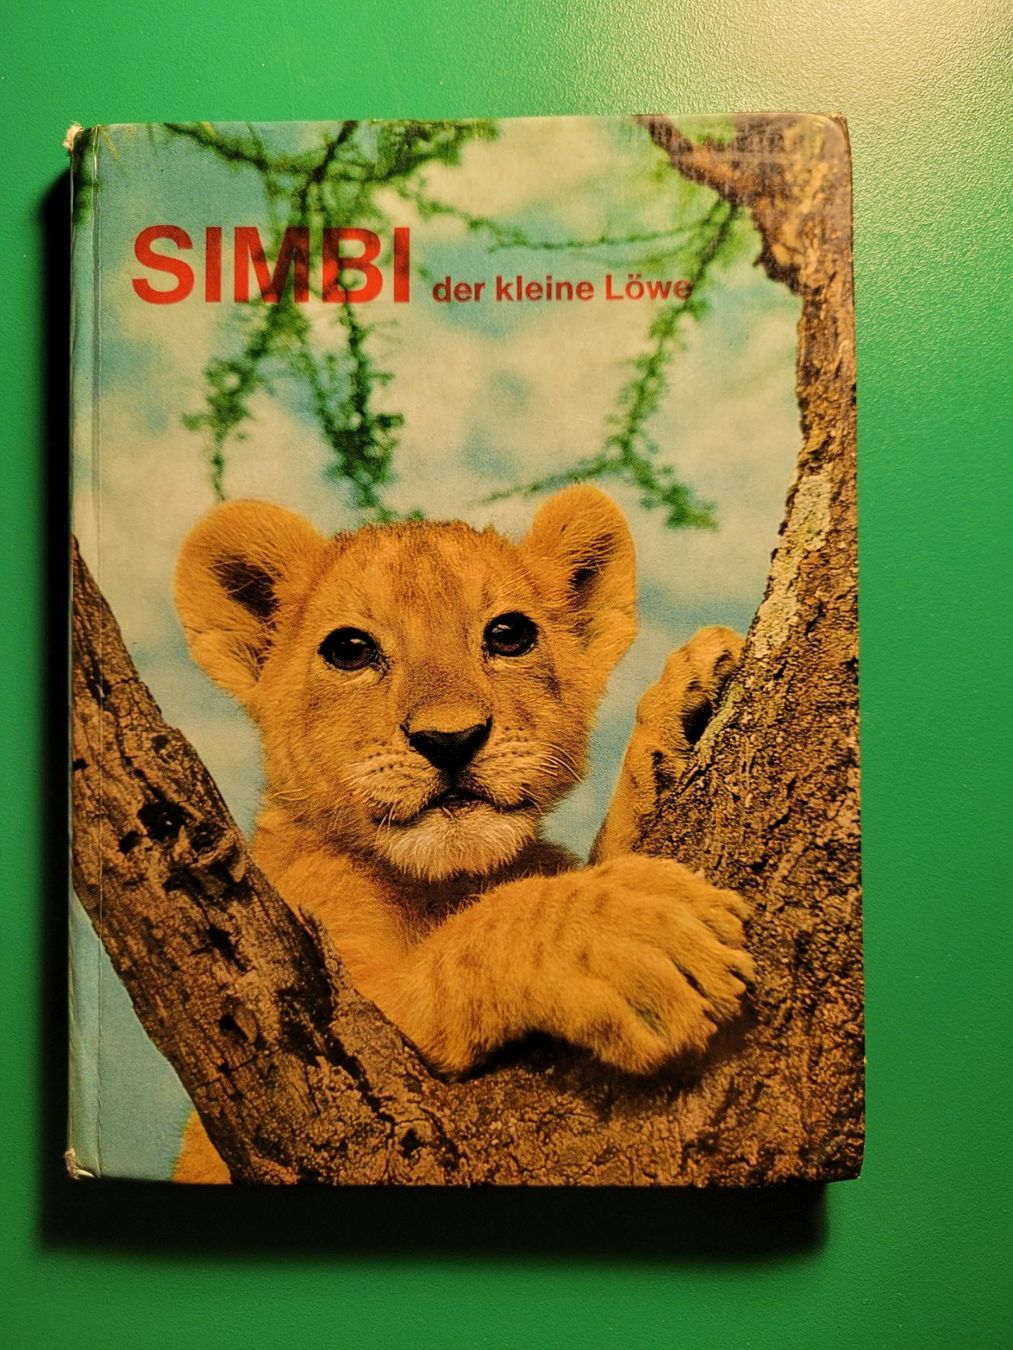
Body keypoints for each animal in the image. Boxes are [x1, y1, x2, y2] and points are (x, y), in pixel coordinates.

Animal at [172, 485, 751, 1181]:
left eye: (508, 635)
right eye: (349, 650)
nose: (450, 740)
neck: (442, 881)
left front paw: (688, 692)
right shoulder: (338, 1038)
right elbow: (472, 941)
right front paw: (628, 935)